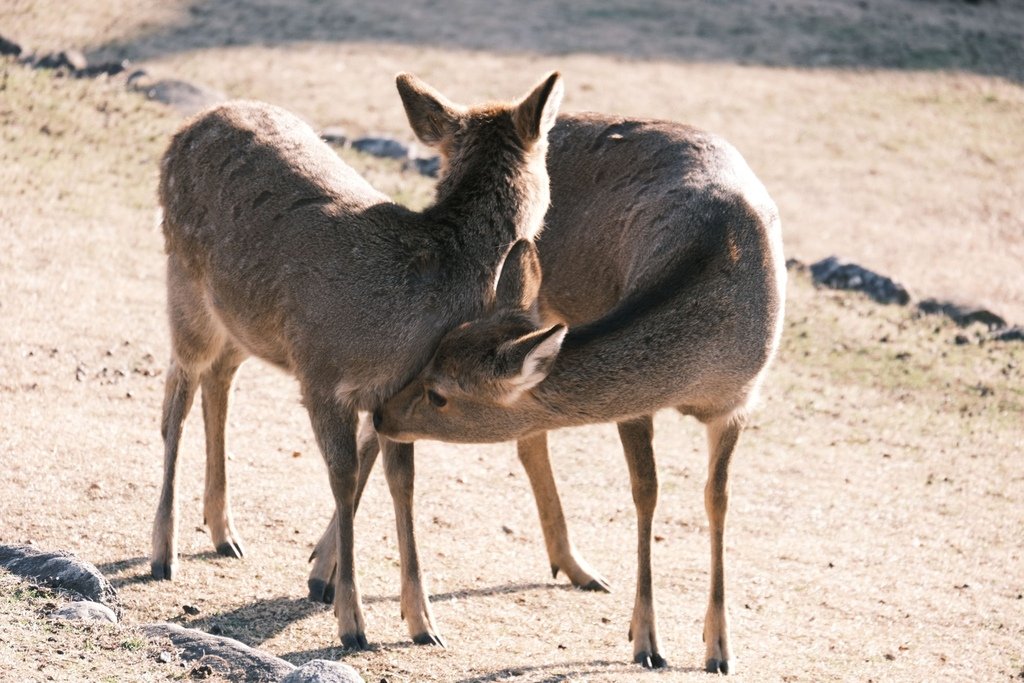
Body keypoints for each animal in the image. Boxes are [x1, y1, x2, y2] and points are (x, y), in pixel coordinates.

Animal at [150, 70, 565, 651]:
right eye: (549, 151)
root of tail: (187, 127)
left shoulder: (398, 397)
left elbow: (403, 483)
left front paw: (422, 622)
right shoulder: (322, 375)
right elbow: (344, 481)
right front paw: (351, 621)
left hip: (243, 323)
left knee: (219, 382)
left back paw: (223, 533)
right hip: (184, 283)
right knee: (176, 400)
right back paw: (163, 552)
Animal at [372, 113, 786, 671]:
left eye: (440, 392)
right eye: (433, 357)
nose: (382, 412)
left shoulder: (740, 403)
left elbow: (716, 500)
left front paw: (719, 648)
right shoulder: (635, 403)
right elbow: (646, 493)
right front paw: (646, 641)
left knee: (531, 439)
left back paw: (576, 567)